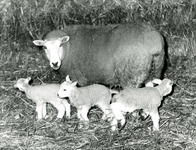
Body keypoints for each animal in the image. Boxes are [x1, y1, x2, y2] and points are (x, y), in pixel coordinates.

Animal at [33, 22, 165, 88]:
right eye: (45, 47)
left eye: (60, 45)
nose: (55, 63)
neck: (68, 47)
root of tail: (154, 42)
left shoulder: (79, 78)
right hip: (154, 70)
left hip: (131, 74)